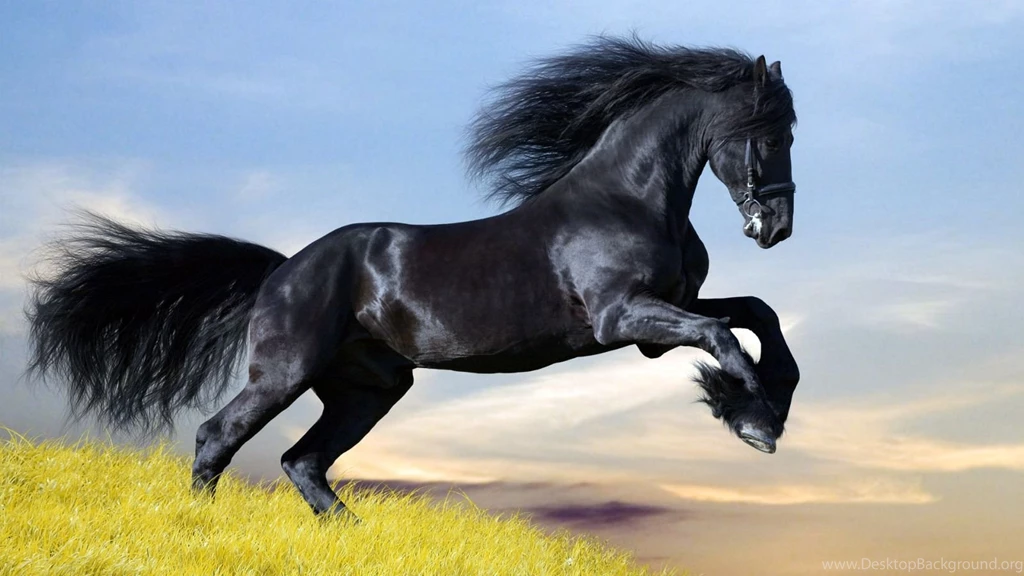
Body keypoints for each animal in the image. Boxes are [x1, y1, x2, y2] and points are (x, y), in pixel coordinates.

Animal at [26, 36, 800, 518]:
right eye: (768, 133)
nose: (776, 228)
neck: (628, 199)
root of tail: (283, 270)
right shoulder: (623, 319)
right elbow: (723, 337)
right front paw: (752, 419)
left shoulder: (661, 317)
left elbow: (756, 314)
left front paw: (764, 404)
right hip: (285, 372)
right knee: (218, 437)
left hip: (368, 389)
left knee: (303, 461)